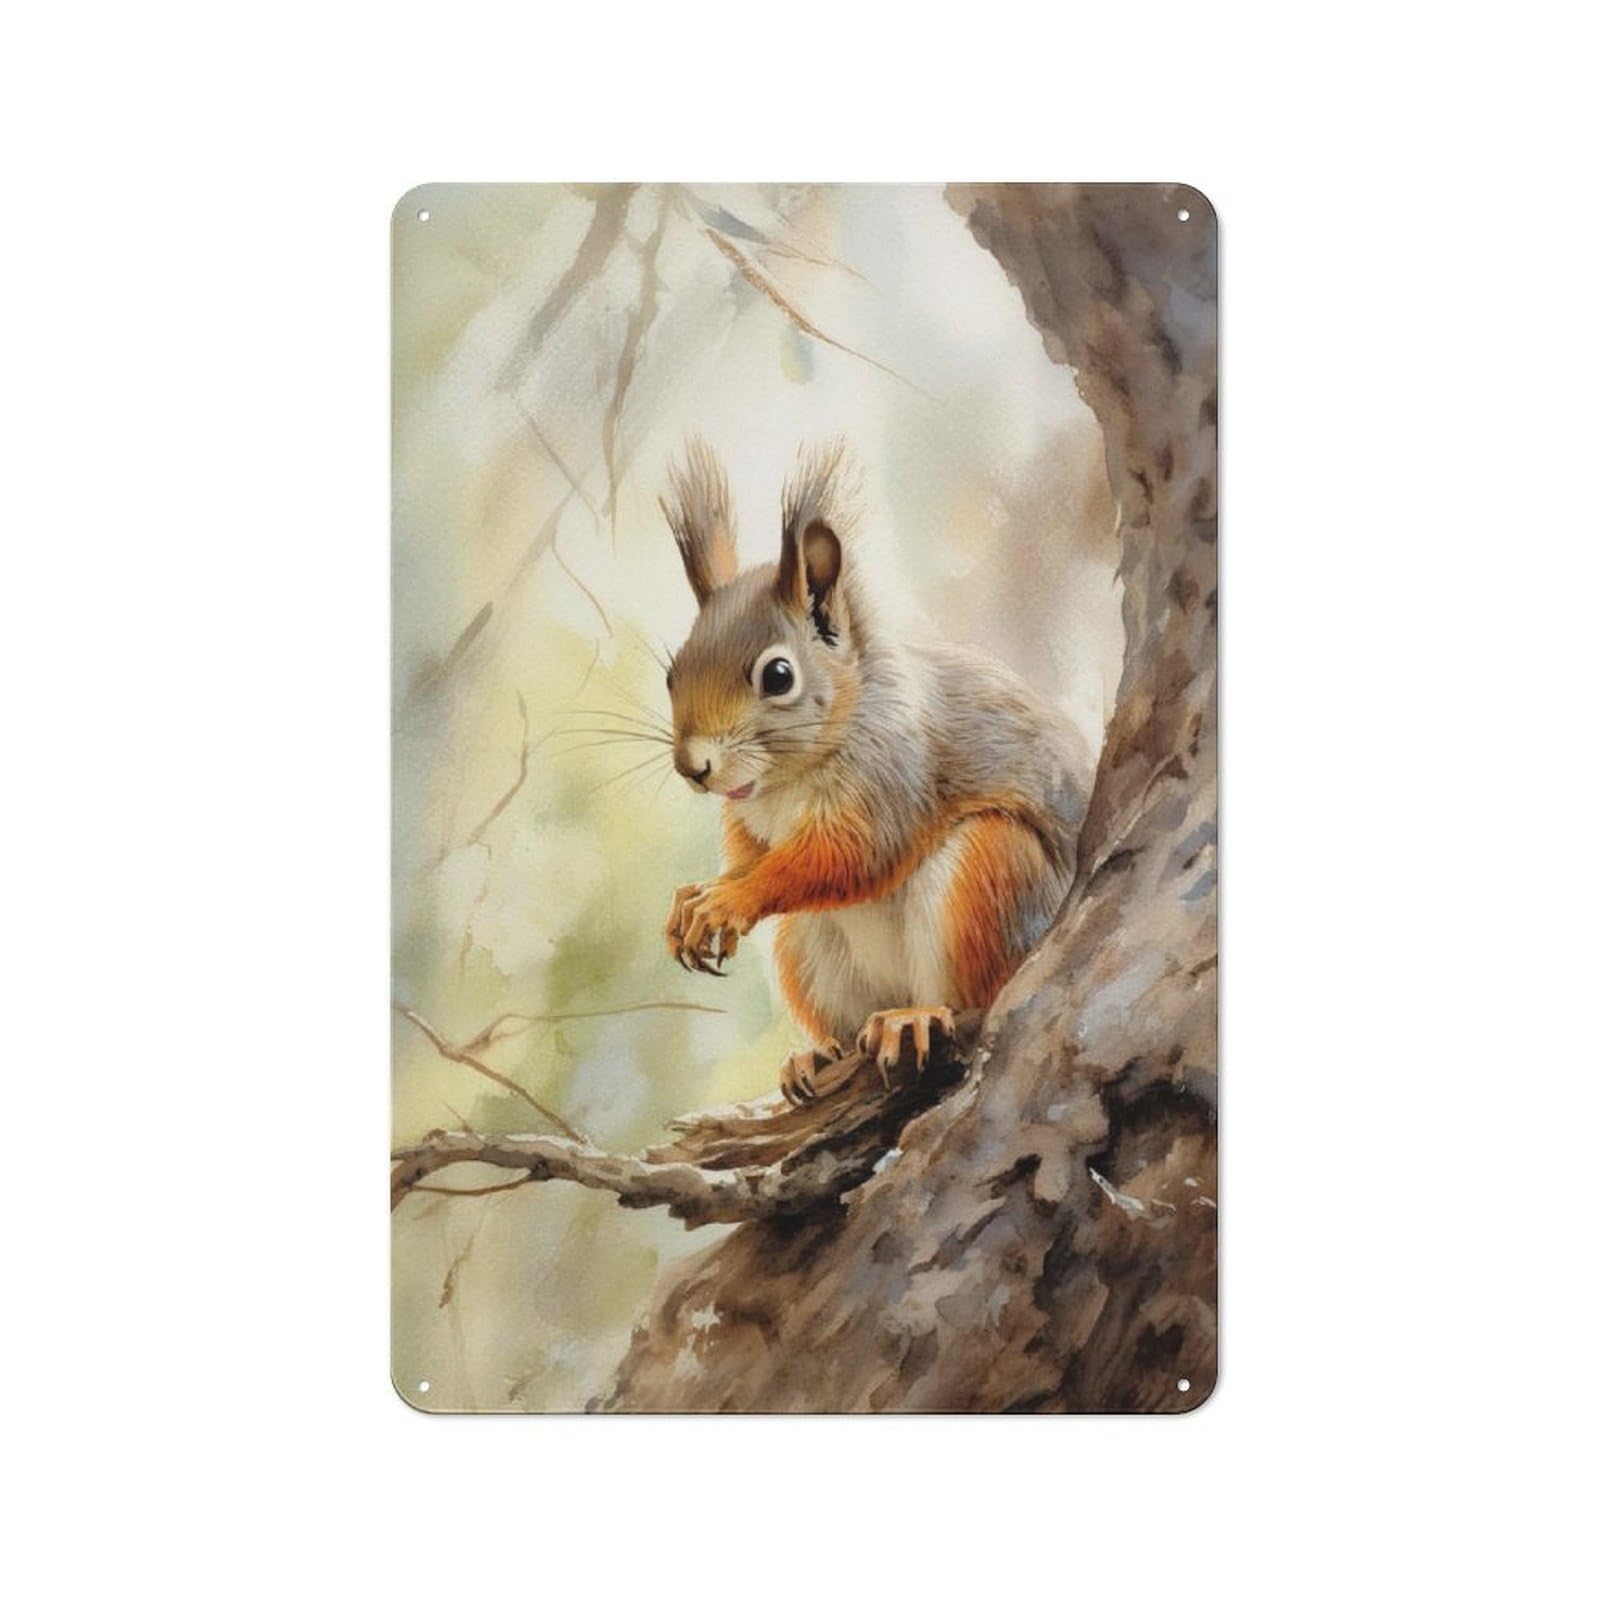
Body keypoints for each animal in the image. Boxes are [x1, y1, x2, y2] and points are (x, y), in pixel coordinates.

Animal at [658, 439, 1094, 1105]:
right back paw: (814, 1055)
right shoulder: (749, 819)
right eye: (672, 672)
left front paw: (730, 899)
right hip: (805, 947)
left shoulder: (895, 772)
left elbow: (849, 855)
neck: (787, 780)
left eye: (778, 676)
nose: (694, 767)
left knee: (978, 996)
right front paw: (695, 899)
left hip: (993, 875)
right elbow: (751, 855)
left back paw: (915, 1016)